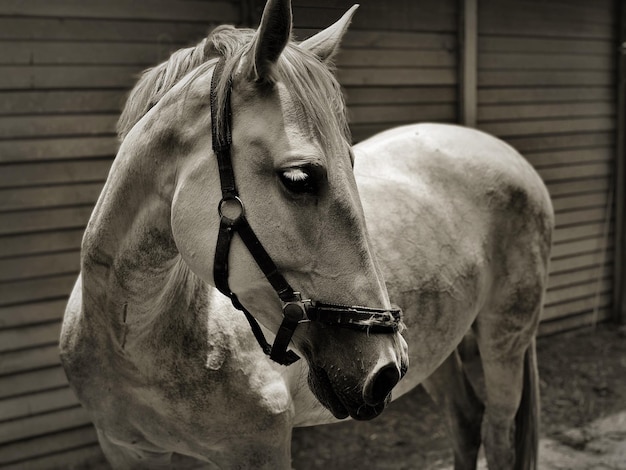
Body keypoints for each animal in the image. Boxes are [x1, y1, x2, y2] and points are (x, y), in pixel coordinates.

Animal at [61, 1, 552, 468]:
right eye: (299, 178)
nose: (385, 370)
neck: (136, 339)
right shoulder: (127, 450)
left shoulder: (258, 452)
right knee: (466, 422)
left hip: (505, 338)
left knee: (497, 435)